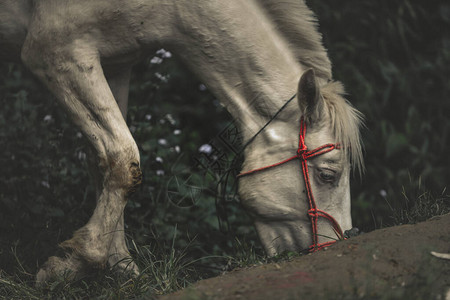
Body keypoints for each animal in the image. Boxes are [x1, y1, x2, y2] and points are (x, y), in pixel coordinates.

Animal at [0, 0, 364, 282]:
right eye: (327, 175)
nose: (333, 248)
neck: (172, 8)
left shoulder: (113, 65)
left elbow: (103, 162)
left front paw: (120, 269)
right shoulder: (56, 52)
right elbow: (125, 161)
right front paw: (74, 262)